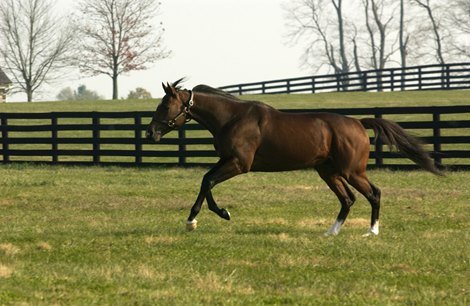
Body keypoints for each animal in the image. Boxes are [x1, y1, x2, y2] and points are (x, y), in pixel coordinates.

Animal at [146, 79, 440, 237]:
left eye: (165, 104)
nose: (150, 132)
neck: (232, 117)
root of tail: (358, 122)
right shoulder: (227, 160)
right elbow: (205, 180)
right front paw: (201, 218)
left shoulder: (239, 164)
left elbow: (208, 182)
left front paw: (208, 217)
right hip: (328, 172)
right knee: (348, 199)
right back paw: (331, 232)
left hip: (352, 172)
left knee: (374, 193)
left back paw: (372, 231)